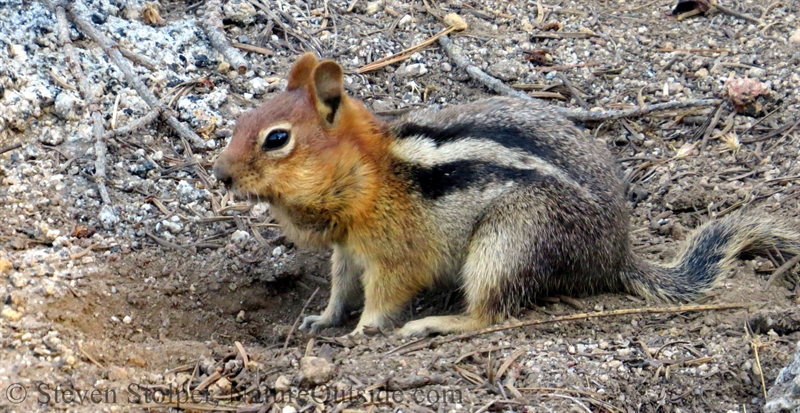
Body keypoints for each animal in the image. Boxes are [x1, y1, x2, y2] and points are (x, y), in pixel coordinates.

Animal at [212, 52, 800, 334]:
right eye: (241, 120)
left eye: (277, 139)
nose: (220, 174)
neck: (371, 174)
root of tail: (614, 255)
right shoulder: (347, 250)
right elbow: (339, 288)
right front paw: (325, 319)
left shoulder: (397, 252)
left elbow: (385, 294)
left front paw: (362, 331)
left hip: (510, 240)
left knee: (489, 315)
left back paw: (435, 324)